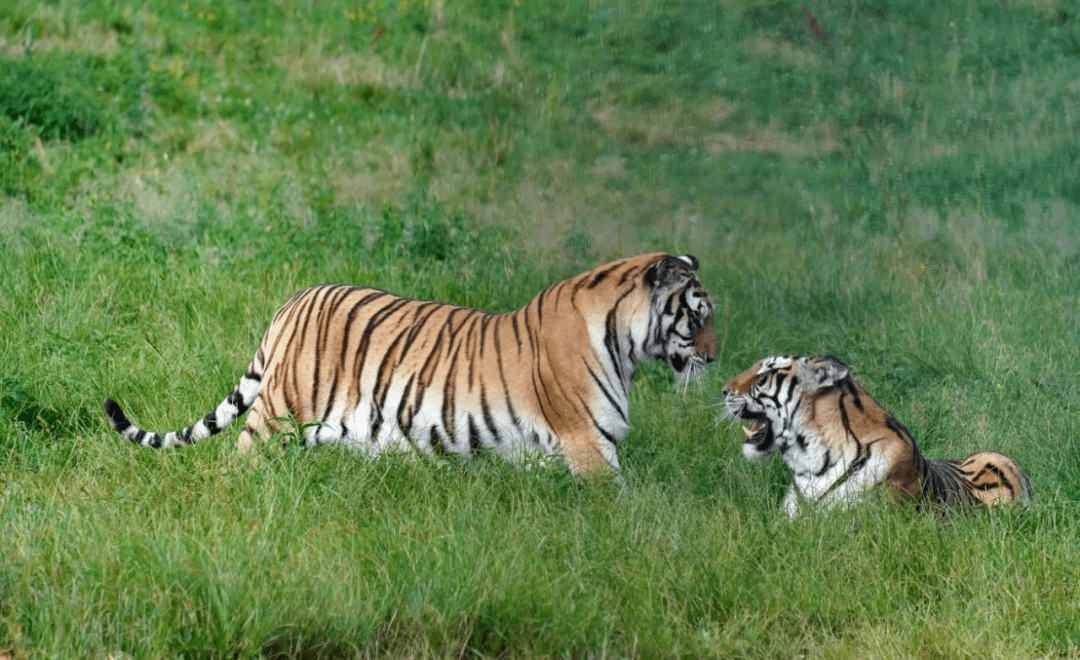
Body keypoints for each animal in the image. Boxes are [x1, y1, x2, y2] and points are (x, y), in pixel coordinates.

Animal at [101, 252, 717, 475]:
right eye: (699, 315)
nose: (715, 358)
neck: (625, 343)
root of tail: (293, 301)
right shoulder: (590, 445)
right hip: (280, 412)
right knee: (242, 459)